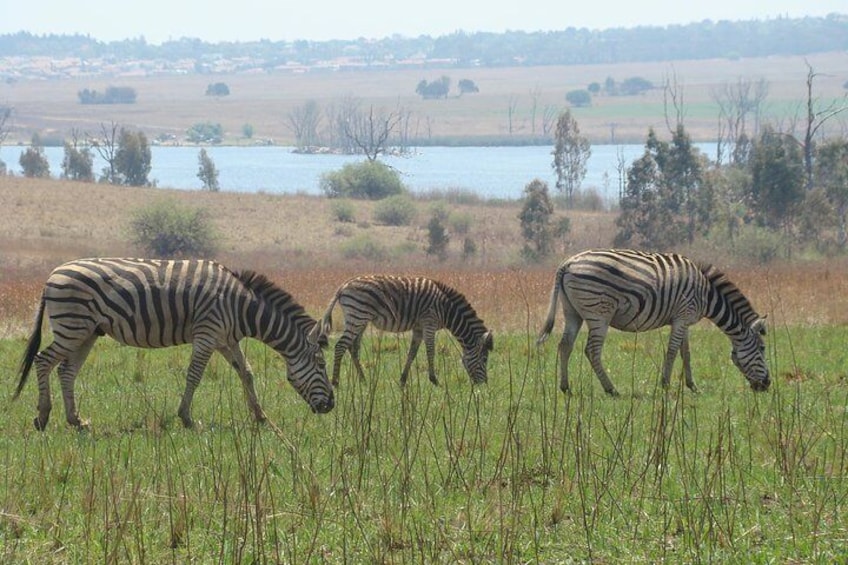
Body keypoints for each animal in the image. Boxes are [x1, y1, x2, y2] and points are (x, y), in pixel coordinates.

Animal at [318, 274, 494, 388]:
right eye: (484, 359)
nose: (484, 385)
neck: (447, 309)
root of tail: (344, 285)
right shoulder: (429, 322)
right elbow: (430, 351)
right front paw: (434, 380)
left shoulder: (418, 328)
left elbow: (412, 353)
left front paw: (402, 381)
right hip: (358, 315)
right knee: (340, 346)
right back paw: (335, 382)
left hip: (359, 319)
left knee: (353, 348)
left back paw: (363, 380)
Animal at [540, 249, 772, 394]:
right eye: (762, 348)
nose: (767, 384)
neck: (707, 294)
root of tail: (567, 263)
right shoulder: (682, 316)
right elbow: (672, 352)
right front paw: (666, 384)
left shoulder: (684, 320)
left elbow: (686, 353)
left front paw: (692, 386)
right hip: (599, 313)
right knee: (592, 351)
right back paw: (611, 389)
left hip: (573, 312)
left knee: (565, 346)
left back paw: (565, 387)